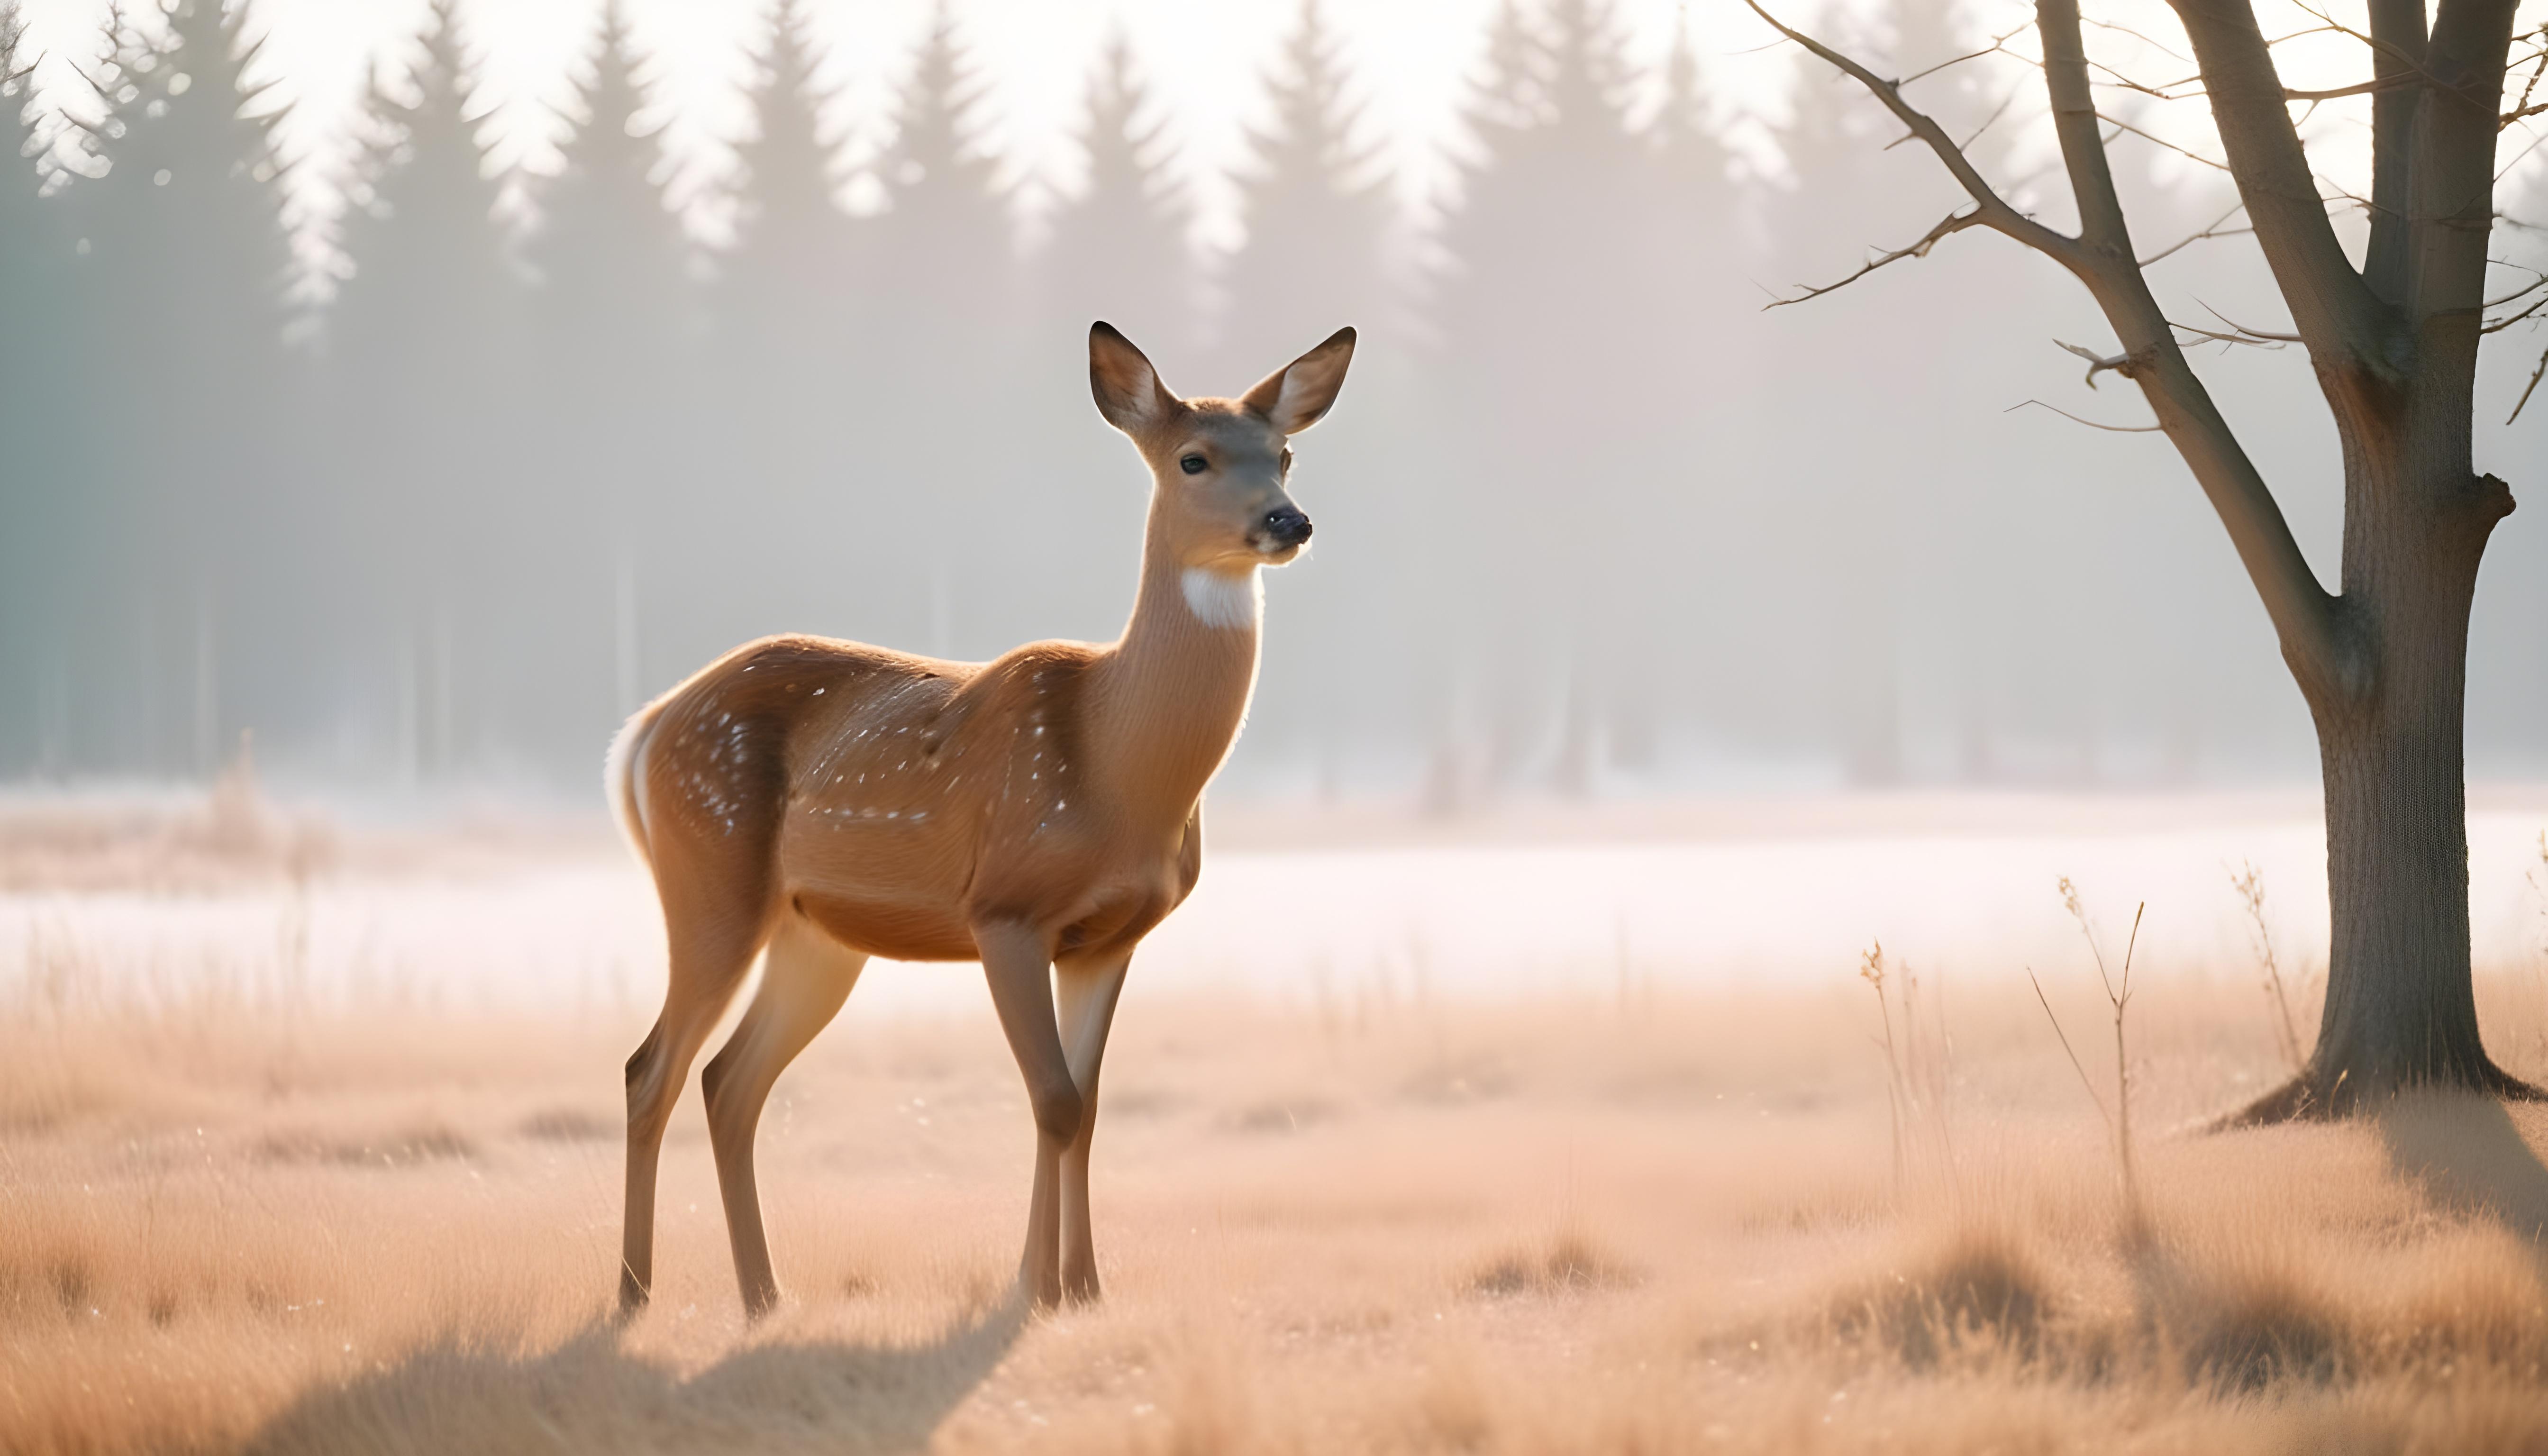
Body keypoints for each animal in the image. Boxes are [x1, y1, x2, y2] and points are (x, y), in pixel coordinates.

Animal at [605, 321, 1355, 1317]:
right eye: (1193, 457)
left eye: (1284, 454)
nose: (1287, 522)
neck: (1115, 760)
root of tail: (645, 730)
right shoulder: (1004, 906)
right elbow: (1053, 1098)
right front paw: (1036, 1289)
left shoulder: (1111, 936)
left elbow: (1087, 1102)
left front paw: (1080, 1288)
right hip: (711, 876)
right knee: (650, 1067)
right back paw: (633, 1297)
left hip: (818, 934)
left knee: (730, 1080)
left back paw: (765, 1296)